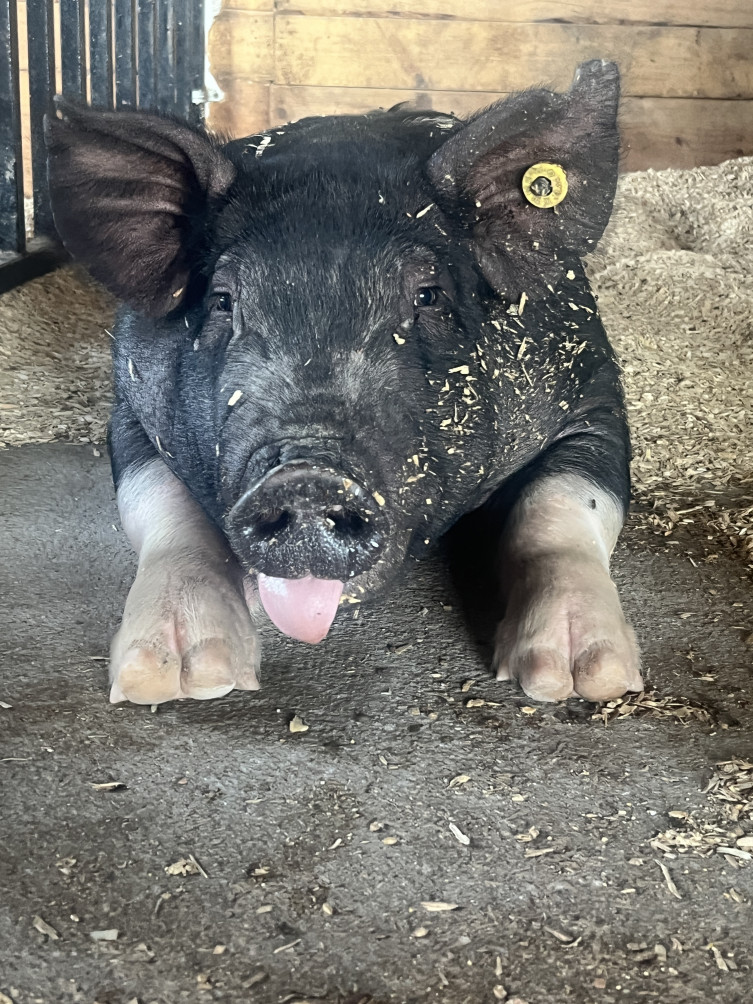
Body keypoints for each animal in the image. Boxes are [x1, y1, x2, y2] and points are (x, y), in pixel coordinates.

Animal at [44, 59, 642, 706]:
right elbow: (165, 509)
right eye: (225, 301)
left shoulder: (594, 396)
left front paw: (580, 680)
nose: (307, 477)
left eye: (427, 296)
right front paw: (176, 681)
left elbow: (561, 506)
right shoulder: (130, 406)